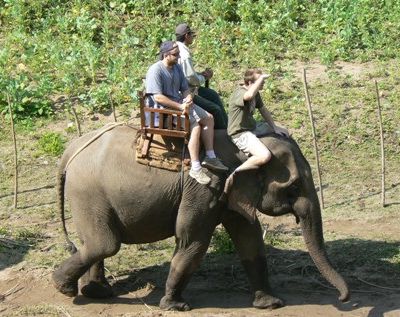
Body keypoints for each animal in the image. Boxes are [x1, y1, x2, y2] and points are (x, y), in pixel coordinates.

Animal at [53, 124, 350, 310]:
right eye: (295, 187)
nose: (344, 299)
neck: (238, 144)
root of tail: (71, 148)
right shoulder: (204, 187)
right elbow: (193, 241)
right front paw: (175, 306)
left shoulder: (230, 192)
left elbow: (249, 238)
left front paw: (271, 304)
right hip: (88, 192)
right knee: (104, 243)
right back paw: (64, 288)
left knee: (95, 243)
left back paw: (97, 293)